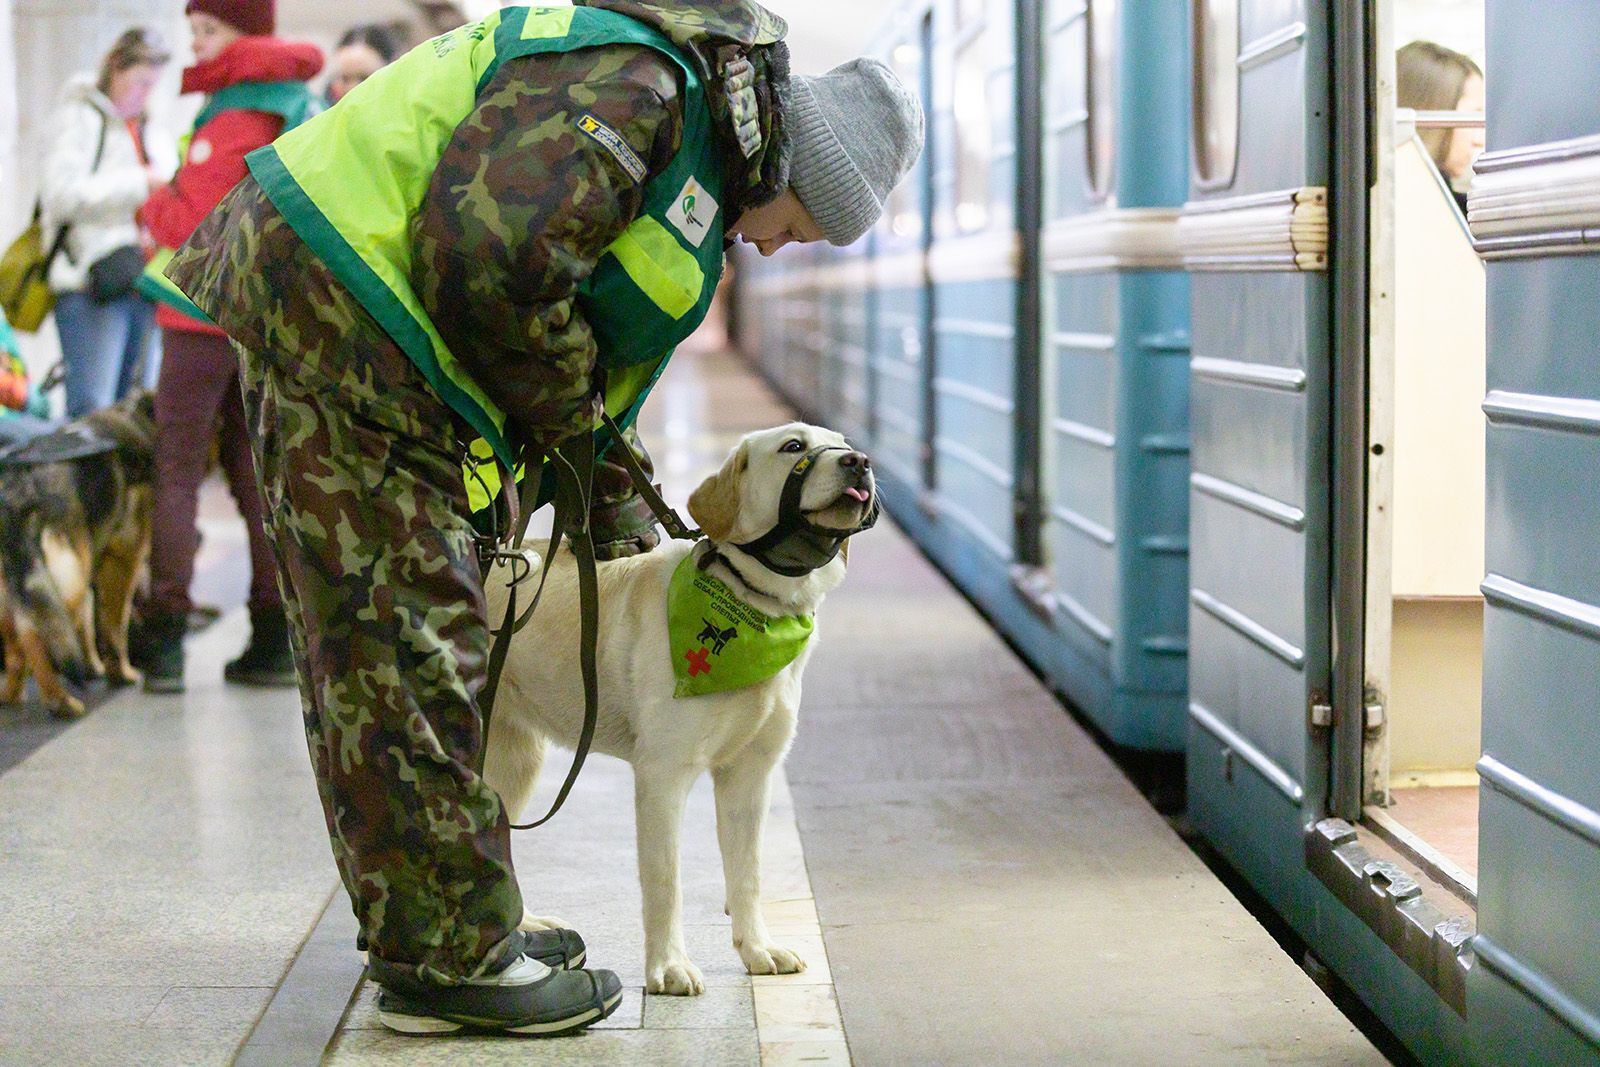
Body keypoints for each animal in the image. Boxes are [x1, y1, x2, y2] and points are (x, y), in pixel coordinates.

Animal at [0, 395, 157, 726]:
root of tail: (19, 490)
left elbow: (89, 620)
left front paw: (93, 665)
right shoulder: (124, 561)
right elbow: (114, 627)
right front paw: (120, 673)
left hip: (25, 585)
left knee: (18, 647)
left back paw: (12, 694)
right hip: (65, 582)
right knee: (37, 638)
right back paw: (59, 701)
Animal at [483, 425, 876, 1004]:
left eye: (844, 443)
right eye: (793, 448)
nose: (860, 462)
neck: (756, 605)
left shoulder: (749, 775)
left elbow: (747, 873)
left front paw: (758, 950)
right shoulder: (663, 774)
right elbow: (666, 880)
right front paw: (668, 968)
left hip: (513, 759)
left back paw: (527, 928)